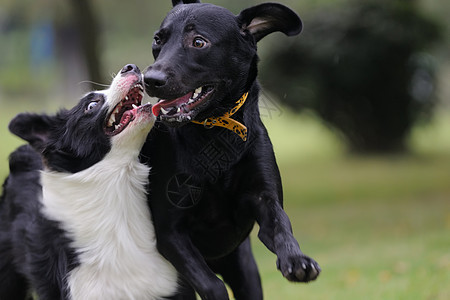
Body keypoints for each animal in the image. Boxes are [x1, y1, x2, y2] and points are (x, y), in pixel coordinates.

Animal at [142, 0, 322, 300]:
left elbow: (282, 227)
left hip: (245, 269)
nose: (150, 79)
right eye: (158, 39)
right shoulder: (170, 232)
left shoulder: (264, 199)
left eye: (199, 42)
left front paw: (297, 260)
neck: (214, 132)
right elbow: (211, 284)